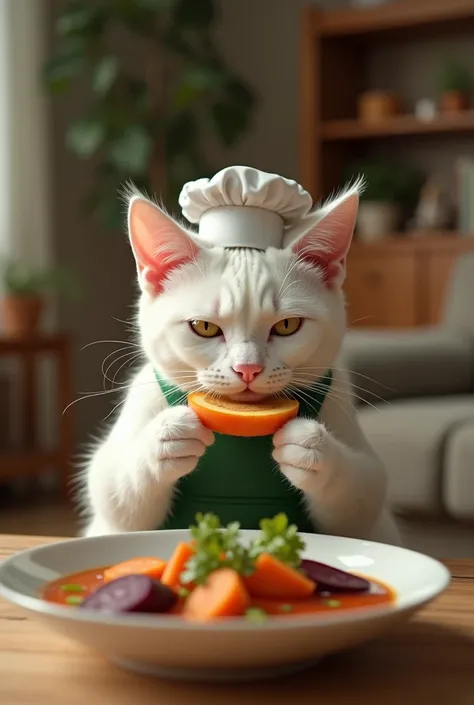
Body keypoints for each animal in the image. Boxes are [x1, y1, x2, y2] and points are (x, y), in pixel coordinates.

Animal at [82, 176, 400, 544]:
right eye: (204, 327)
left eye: (287, 326)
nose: (248, 368)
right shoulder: (135, 418)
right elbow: (114, 493)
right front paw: (168, 436)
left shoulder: (347, 426)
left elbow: (363, 495)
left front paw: (309, 446)